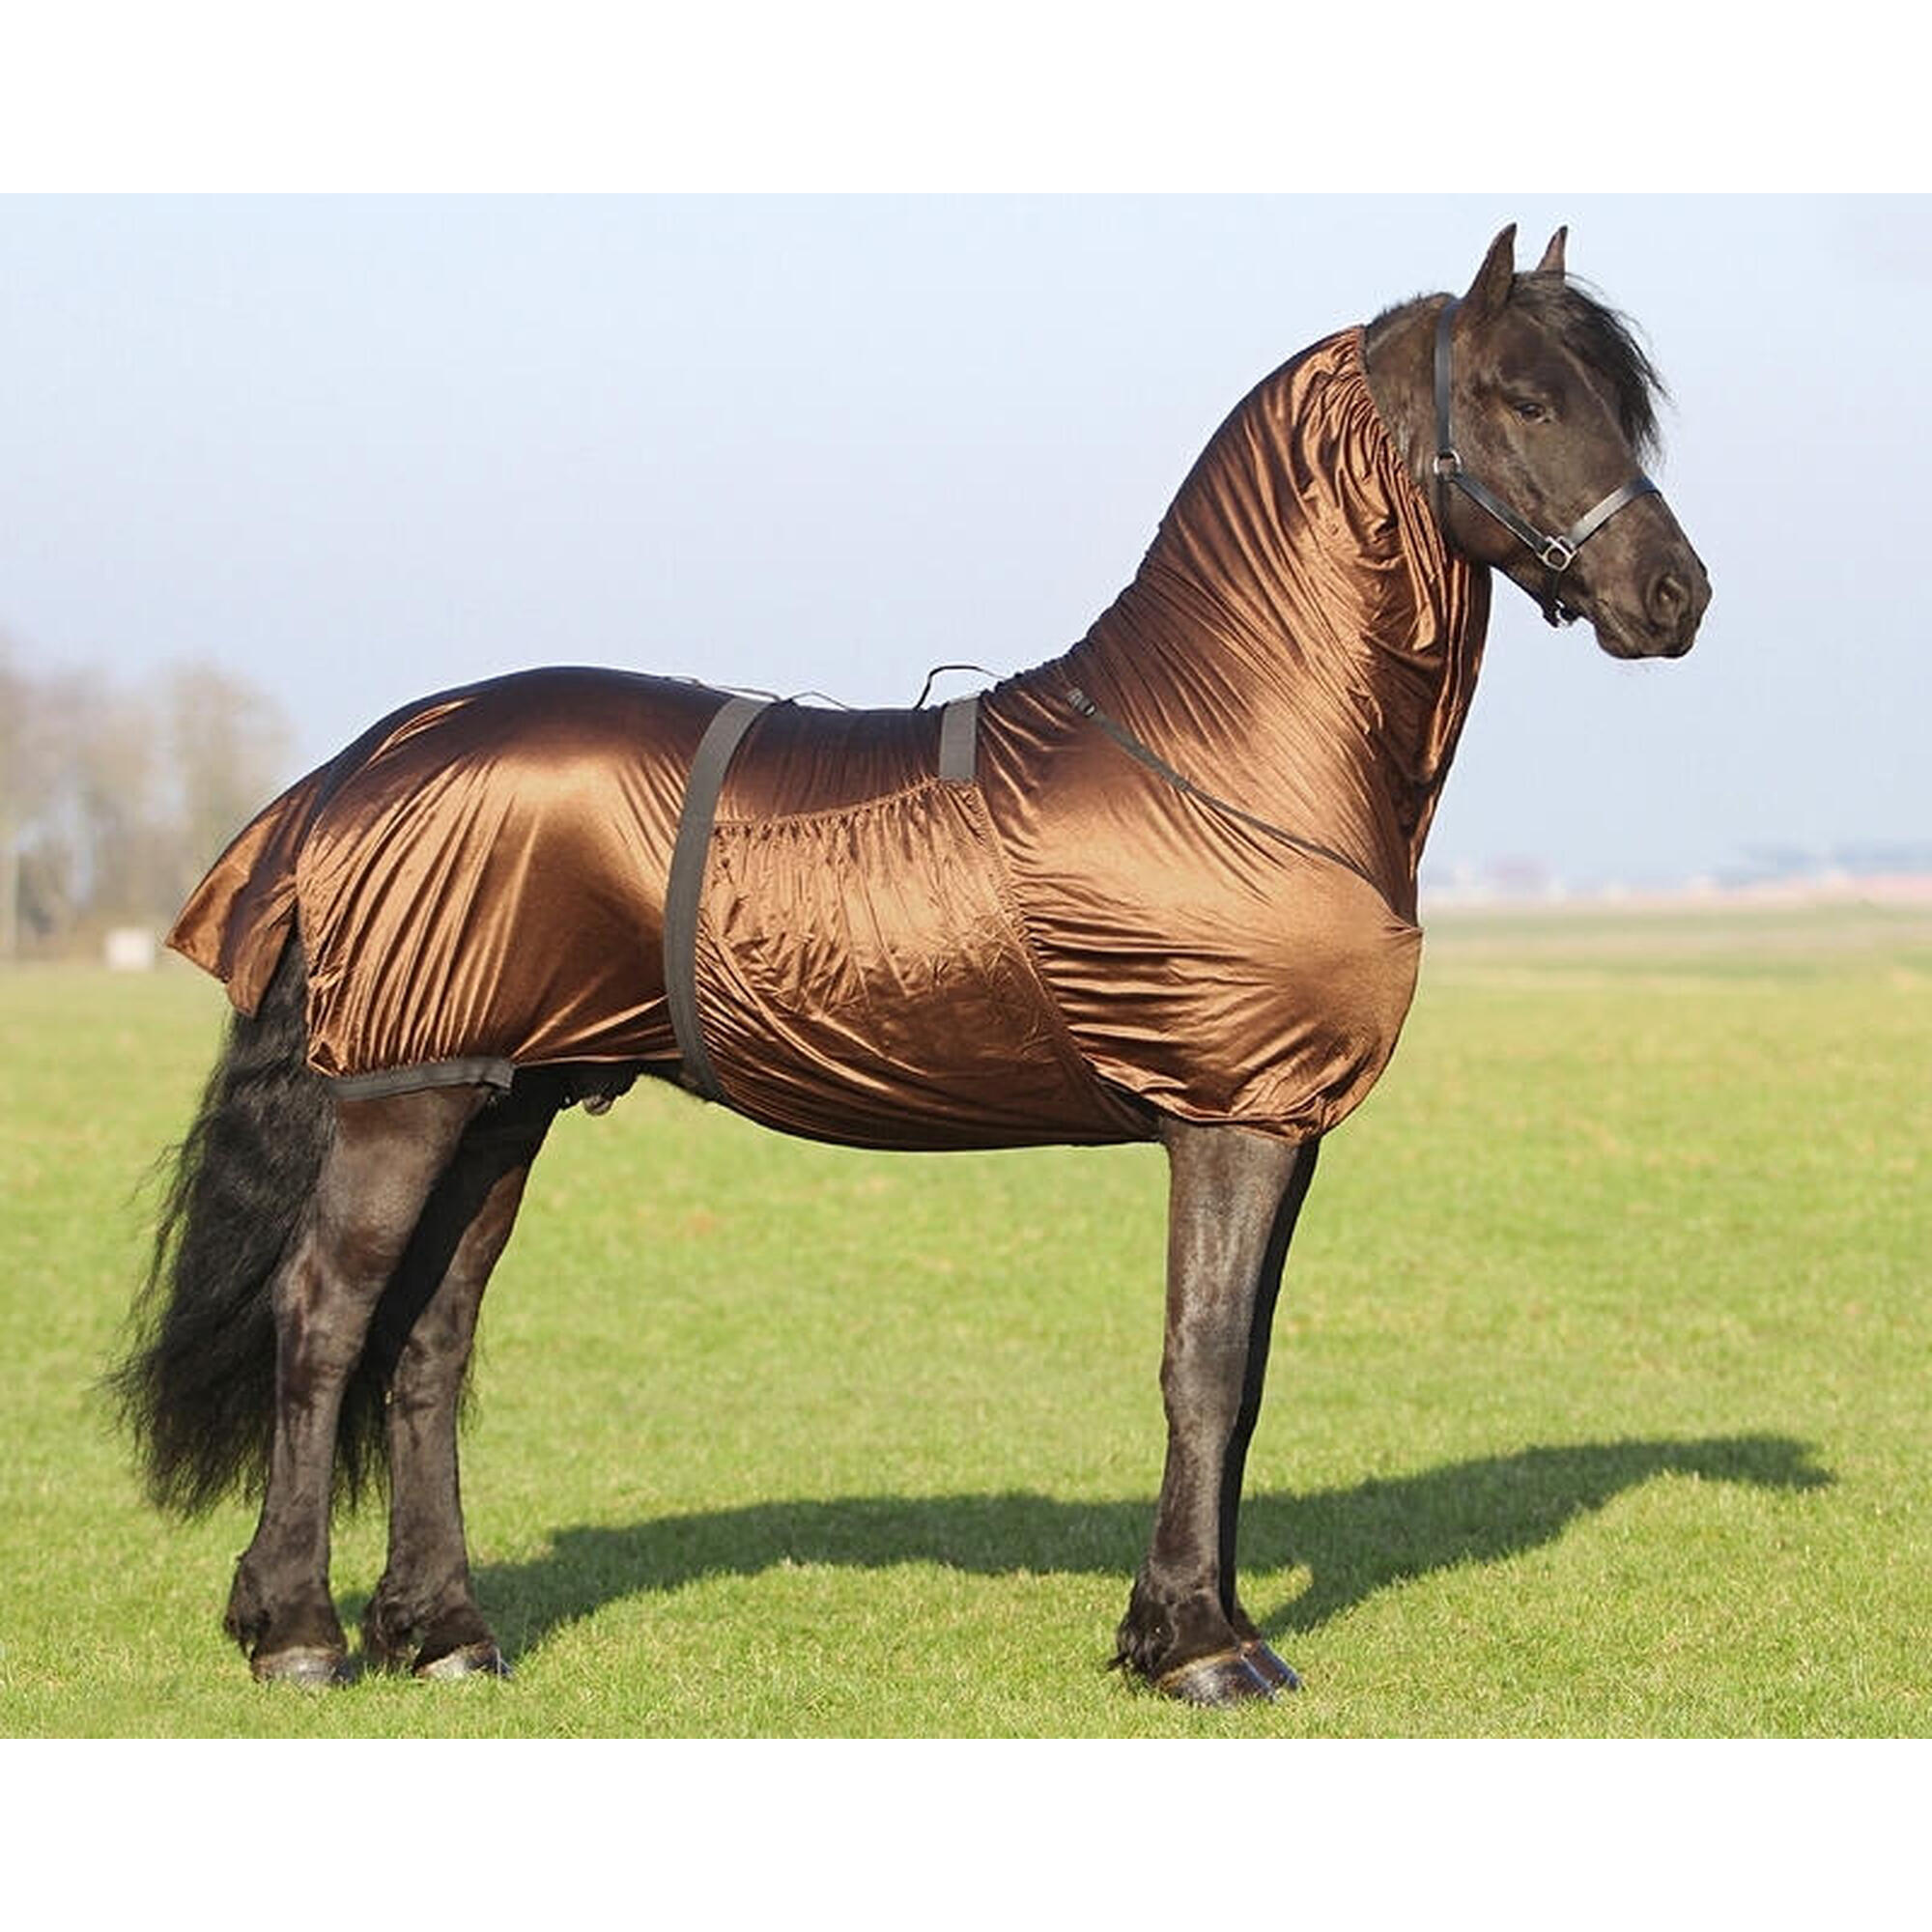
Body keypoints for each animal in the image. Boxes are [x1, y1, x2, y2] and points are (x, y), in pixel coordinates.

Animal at [111, 225, 1709, 1705]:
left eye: (1618, 405)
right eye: (1522, 395)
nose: (1676, 596)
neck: (1224, 751)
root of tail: (366, 760)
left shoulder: (1283, 1123)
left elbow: (1245, 1375)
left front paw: (1205, 1626)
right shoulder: (1232, 1118)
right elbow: (1201, 1365)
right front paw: (1196, 1647)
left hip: (504, 1099)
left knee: (430, 1343)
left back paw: (443, 1634)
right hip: (409, 1096)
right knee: (326, 1322)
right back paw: (298, 1634)